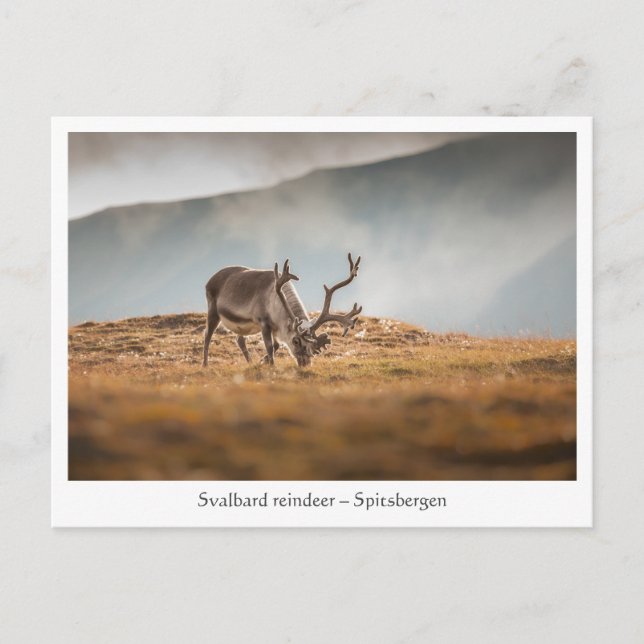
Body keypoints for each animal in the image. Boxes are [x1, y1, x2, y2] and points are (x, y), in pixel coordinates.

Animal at [202, 253, 362, 368]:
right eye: (296, 341)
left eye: (312, 345)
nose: (305, 364)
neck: (275, 303)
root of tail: (210, 279)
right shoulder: (264, 323)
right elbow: (269, 347)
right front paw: (271, 366)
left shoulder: (276, 327)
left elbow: (277, 345)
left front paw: (263, 361)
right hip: (213, 311)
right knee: (207, 336)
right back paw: (205, 364)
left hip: (241, 326)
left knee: (240, 340)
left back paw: (250, 363)